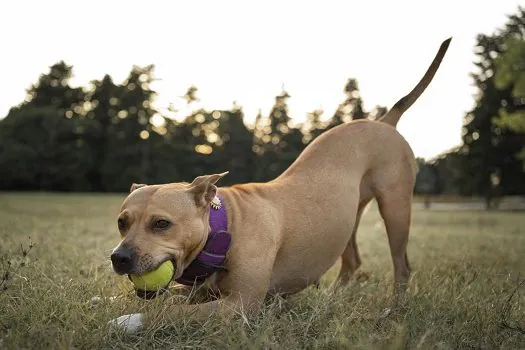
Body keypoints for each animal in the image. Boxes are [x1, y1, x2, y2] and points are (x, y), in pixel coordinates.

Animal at [107, 38, 450, 334]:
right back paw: (331, 300)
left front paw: (128, 320)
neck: (224, 226)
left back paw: (394, 310)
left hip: (395, 207)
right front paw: (108, 300)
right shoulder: (203, 292)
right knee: (352, 261)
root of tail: (384, 122)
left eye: (161, 224)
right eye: (122, 222)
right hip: (347, 218)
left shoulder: (239, 304)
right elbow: (166, 298)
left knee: (402, 266)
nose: (119, 258)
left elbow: (170, 311)